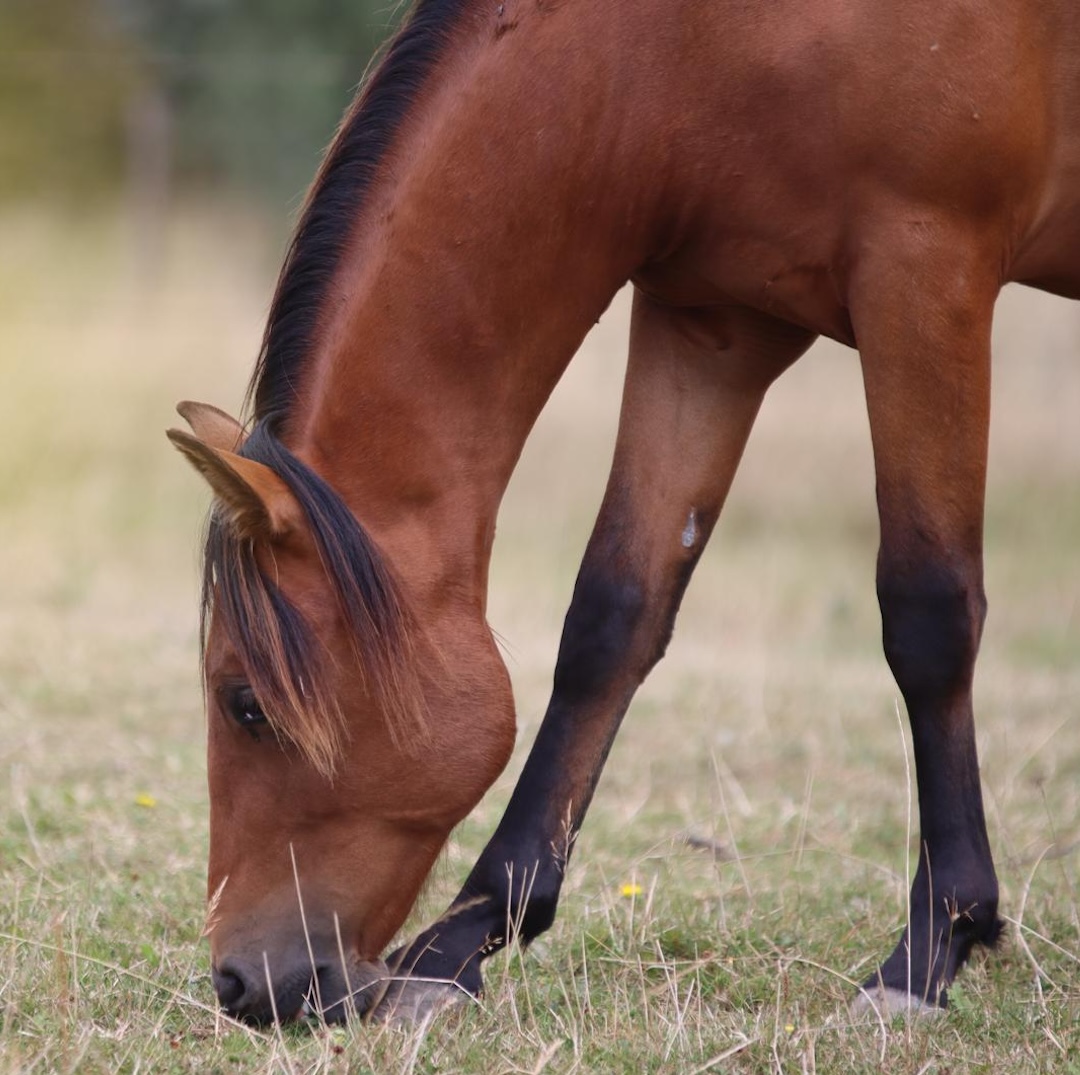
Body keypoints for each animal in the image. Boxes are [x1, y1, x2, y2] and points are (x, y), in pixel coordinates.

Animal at [168, 0, 1080, 1025]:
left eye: (245, 702)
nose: (241, 982)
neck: (685, 51)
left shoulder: (927, 275)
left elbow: (927, 613)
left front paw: (930, 950)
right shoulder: (714, 325)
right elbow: (614, 615)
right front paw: (460, 943)